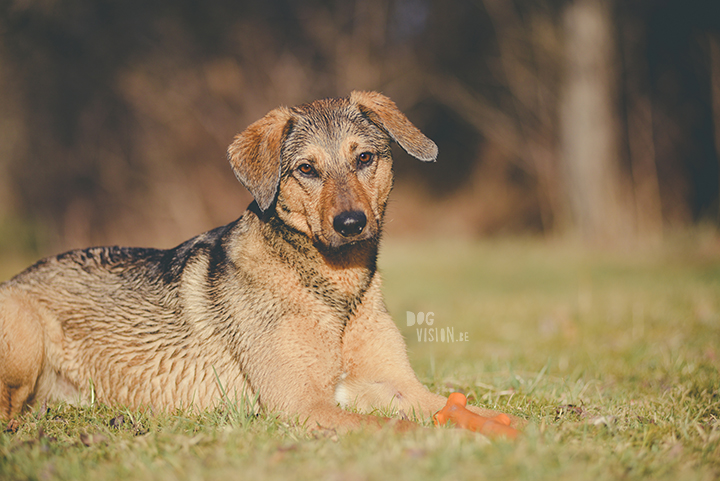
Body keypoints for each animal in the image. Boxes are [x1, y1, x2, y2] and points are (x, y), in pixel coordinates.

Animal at [0, 91, 520, 436]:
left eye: (365, 158)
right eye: (306, 169)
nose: (352, 223)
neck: (335, 290)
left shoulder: (396, 387)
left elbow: (466, 408)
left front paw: (517, 432)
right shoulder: (301, 405)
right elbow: (402, 428)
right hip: (23, 334)